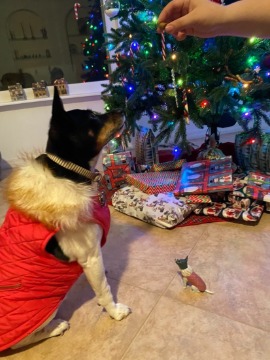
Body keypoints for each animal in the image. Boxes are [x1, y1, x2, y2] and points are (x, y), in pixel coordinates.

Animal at [0, 87, 131, 352]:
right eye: (92, 117)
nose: (121, 107)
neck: (69, 171)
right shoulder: (90, 256)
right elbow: (104, 289)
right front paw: (114, 311)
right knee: (24, 340)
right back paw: (56, 327)